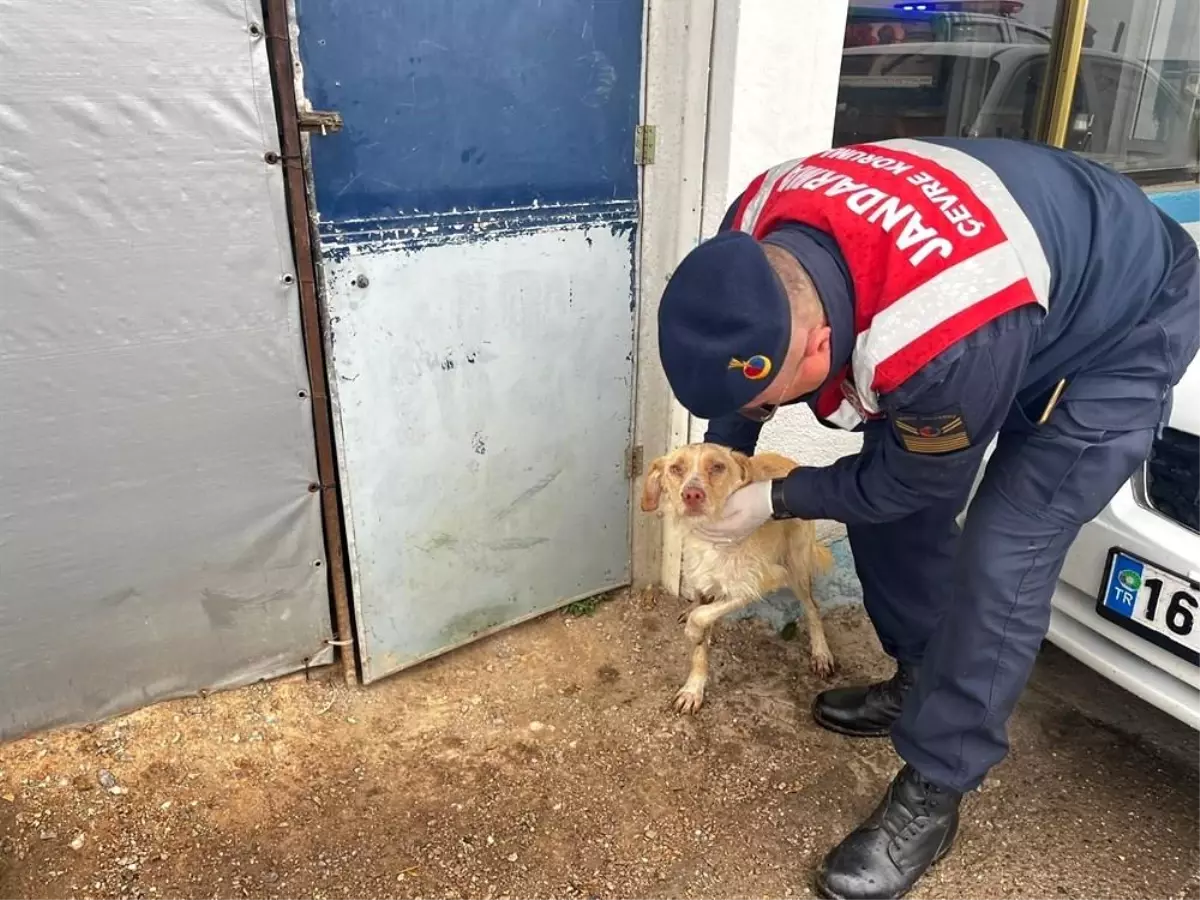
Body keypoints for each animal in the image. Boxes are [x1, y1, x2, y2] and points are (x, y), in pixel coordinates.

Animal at [638, 441, 835, 710]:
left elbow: (703, 616)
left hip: (796, 566)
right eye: (676, 468)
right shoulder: (702, 581)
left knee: (813, 608)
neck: (712, 539)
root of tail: (790, 462)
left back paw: (821, 652)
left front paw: (693, 631)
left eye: (717, 467)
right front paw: (693, 689)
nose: (692, 495)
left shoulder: (759, 583)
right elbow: (700, 639)